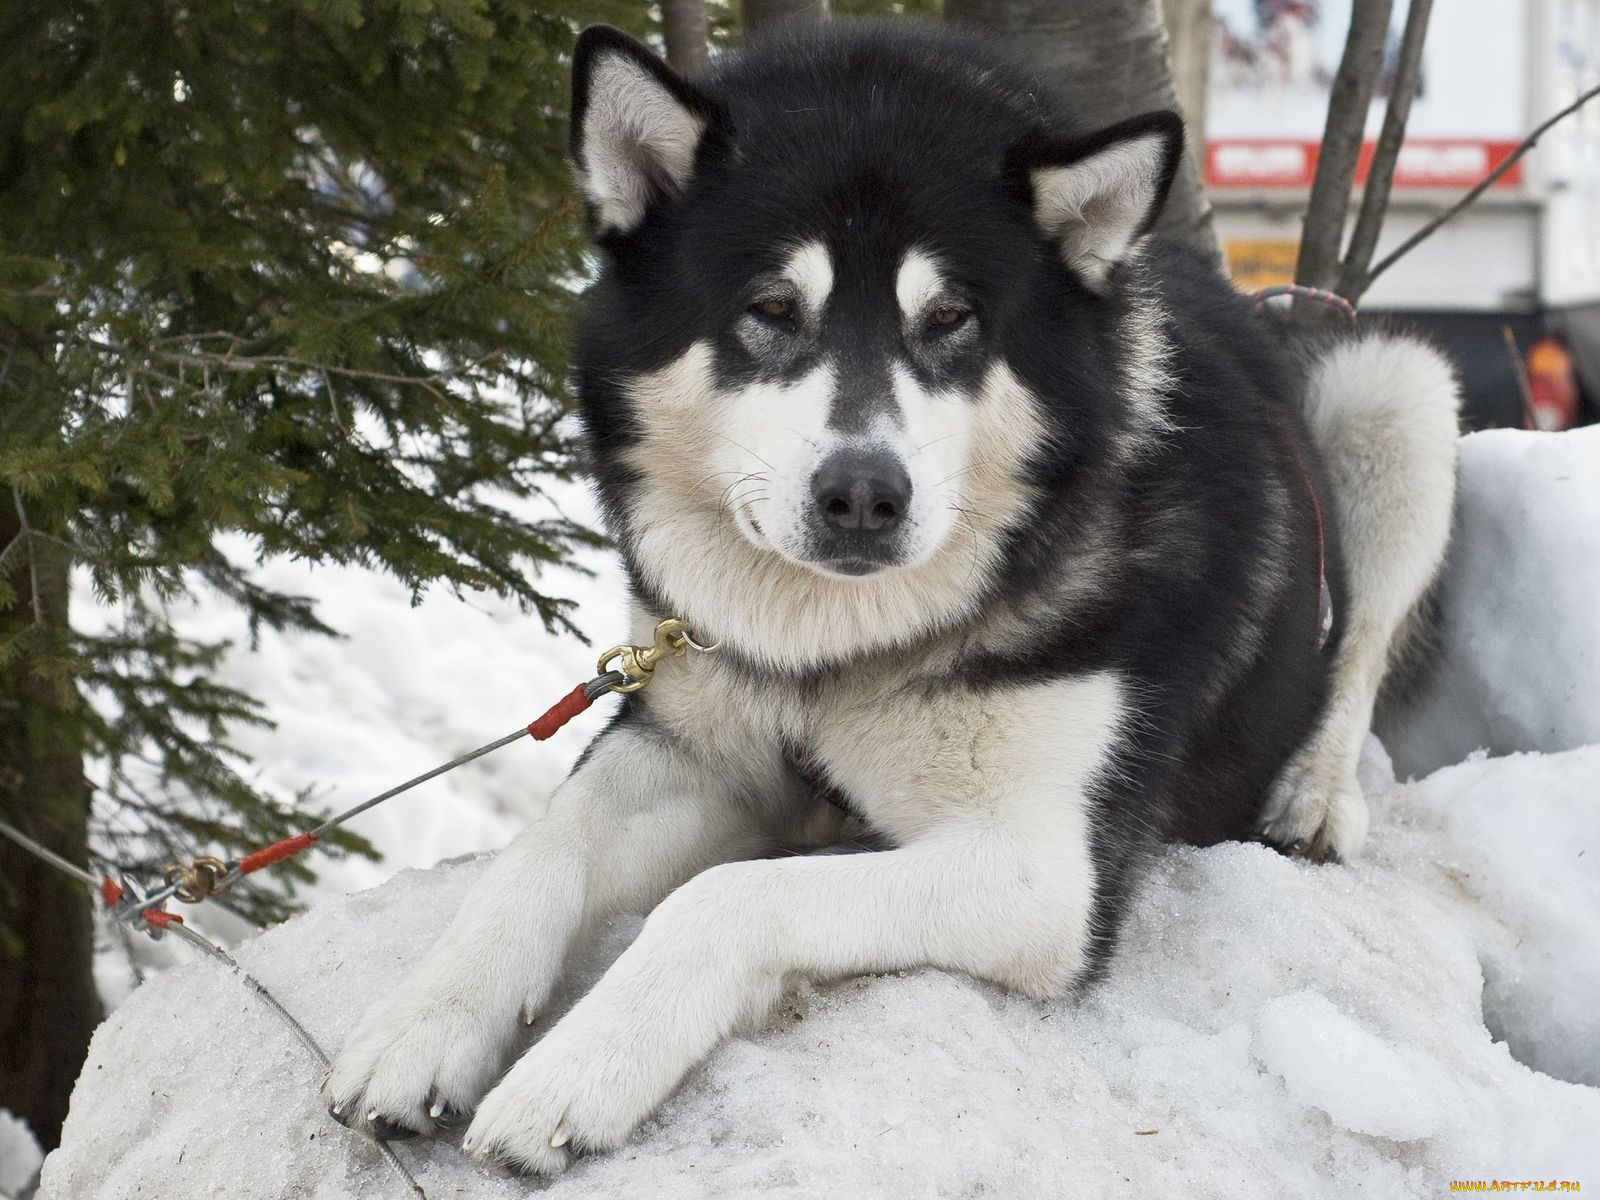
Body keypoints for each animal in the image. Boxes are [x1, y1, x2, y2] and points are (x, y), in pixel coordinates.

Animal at [324, 23, 1465, 1177]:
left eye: (950, 318)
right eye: (771, 311)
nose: (864, 495)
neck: (831, 651)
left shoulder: (1043, 877)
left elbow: (727, 896)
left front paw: (578, 1069)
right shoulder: (694, 741)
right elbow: (538, 855)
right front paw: (421, 1024)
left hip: (1394, 391)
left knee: (1360, 646)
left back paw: (1314, 795)